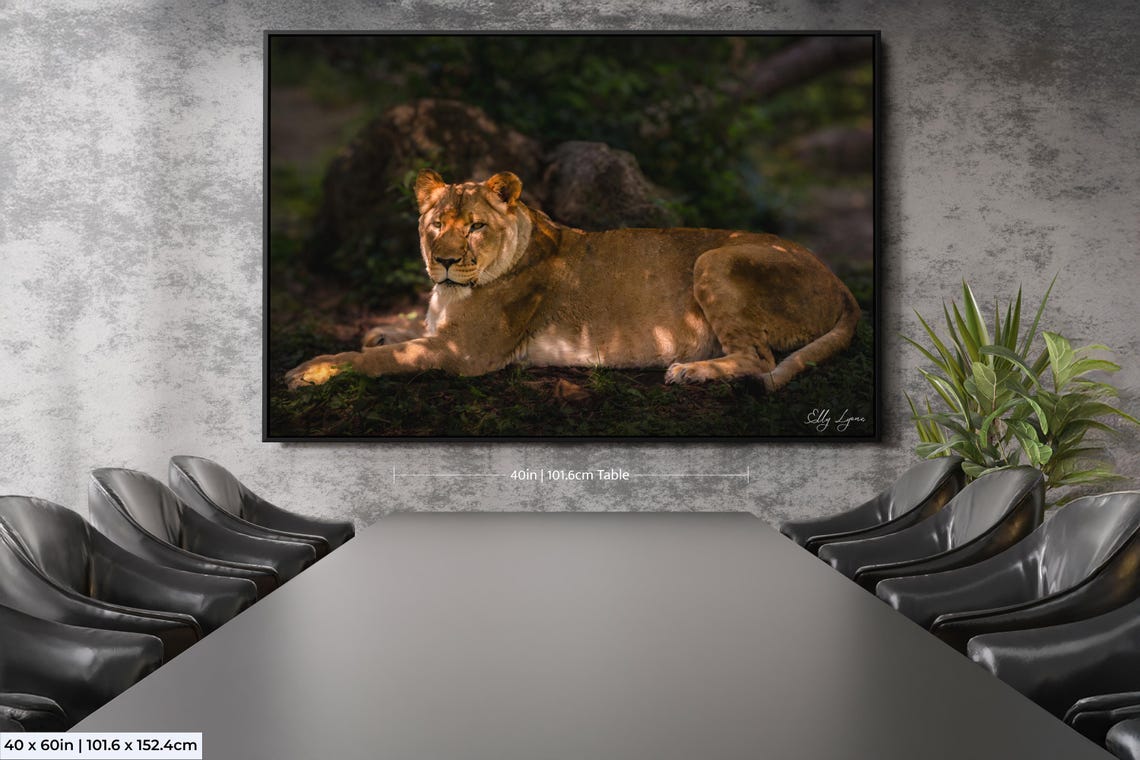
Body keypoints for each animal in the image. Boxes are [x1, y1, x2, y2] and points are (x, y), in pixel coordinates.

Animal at [285, 168, 861, 392]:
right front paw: (380, 329)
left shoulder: (463, 354)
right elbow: (397, 336)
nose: (445, 261)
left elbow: (381, 358)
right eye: (436, 224)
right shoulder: (442, 332)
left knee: (759, 358)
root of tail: (838, 281)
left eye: (475, 226)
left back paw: (691, 371)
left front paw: (313, 369)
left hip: (715, 260)